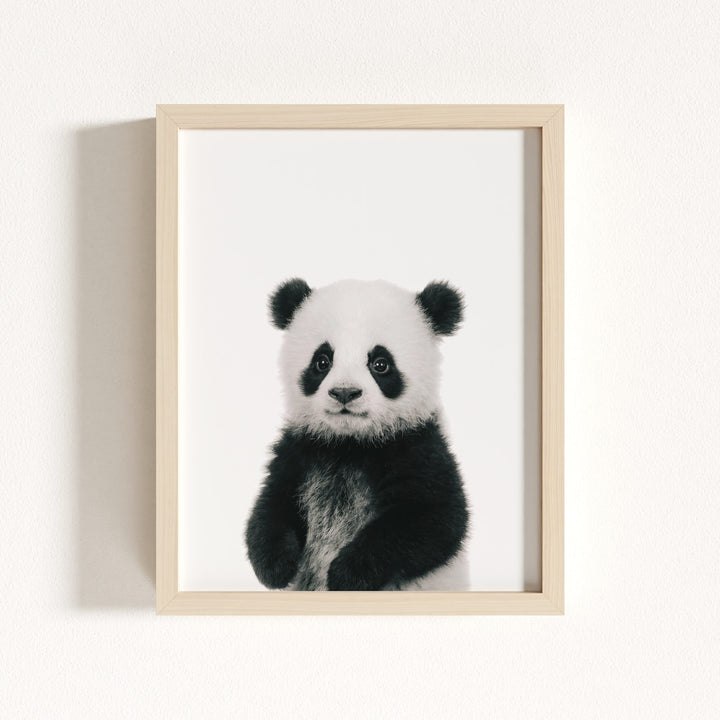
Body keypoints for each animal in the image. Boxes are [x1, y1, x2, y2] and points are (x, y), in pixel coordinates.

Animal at [245, 277, 470, 591]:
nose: (345, 392)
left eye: (380, 363)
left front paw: (346, 575)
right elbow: (273, 503)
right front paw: (275, 566)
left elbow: (434, 519)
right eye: (322, 361)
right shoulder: (300, 449)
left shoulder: (417, 446)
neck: (351, 444)